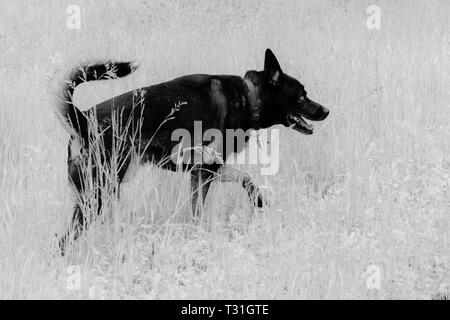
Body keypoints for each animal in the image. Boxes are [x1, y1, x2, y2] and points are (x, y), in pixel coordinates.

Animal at [58, 48, 328, 254]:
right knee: (62, 240)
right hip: (97, 195)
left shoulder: (207, 169)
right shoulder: (204, 172)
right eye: (302, 96)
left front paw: (259, 202)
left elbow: (246, 178)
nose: (326, 110)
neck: (249, 96)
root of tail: (82, 119)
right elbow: (198, 211)